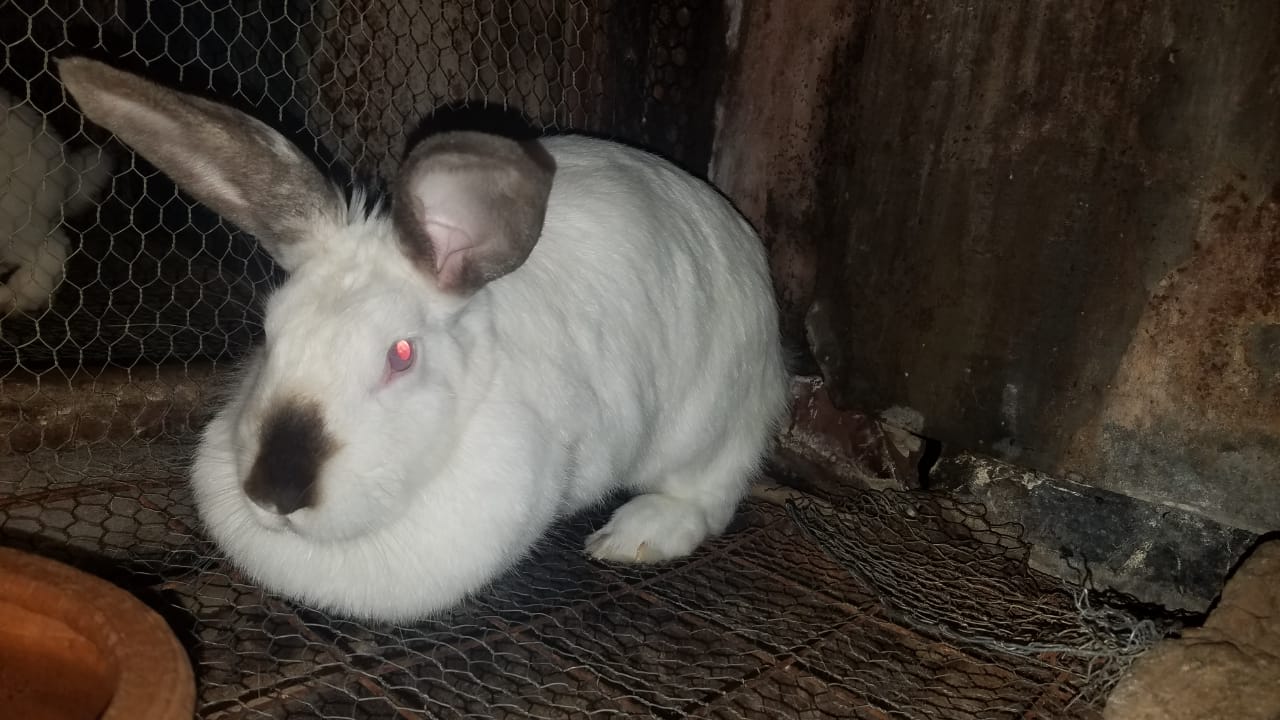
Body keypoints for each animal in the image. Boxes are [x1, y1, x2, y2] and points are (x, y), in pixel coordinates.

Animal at [58, 57, 790, 622]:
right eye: (269, 333)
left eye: (401, 355)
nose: (277, 493)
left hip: (710, 420)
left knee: (707, 492)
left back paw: (634, 536)